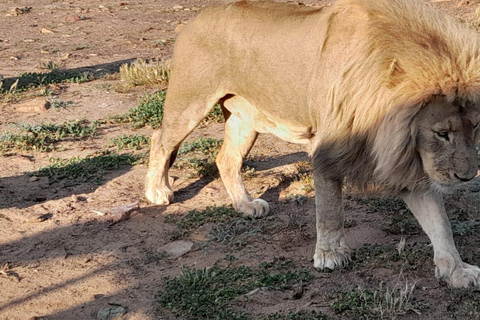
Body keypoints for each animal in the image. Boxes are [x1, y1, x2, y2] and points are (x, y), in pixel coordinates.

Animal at [145, 0, 480, 288]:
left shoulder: (406, 163)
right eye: (441, 133)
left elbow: (439, 223)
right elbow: (330, 210)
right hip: (189, 104)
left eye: (475, 128)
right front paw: (330, 255)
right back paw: (157, 191)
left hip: (246, 118)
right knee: (159, 140)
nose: (467, 178)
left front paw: (457, 270)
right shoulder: (328, 151)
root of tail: (194, 18)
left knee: (226, 160)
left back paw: (245, 205)